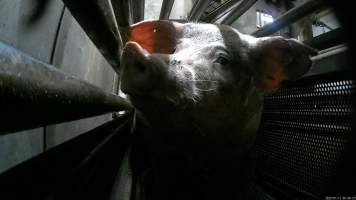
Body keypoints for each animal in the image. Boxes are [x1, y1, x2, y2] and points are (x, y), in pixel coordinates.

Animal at [119, 20, 318, 200]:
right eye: (175, 49)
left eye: (223, 60)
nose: (134, 50)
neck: (198, 142)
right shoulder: (156, 143)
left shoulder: (239, 149)